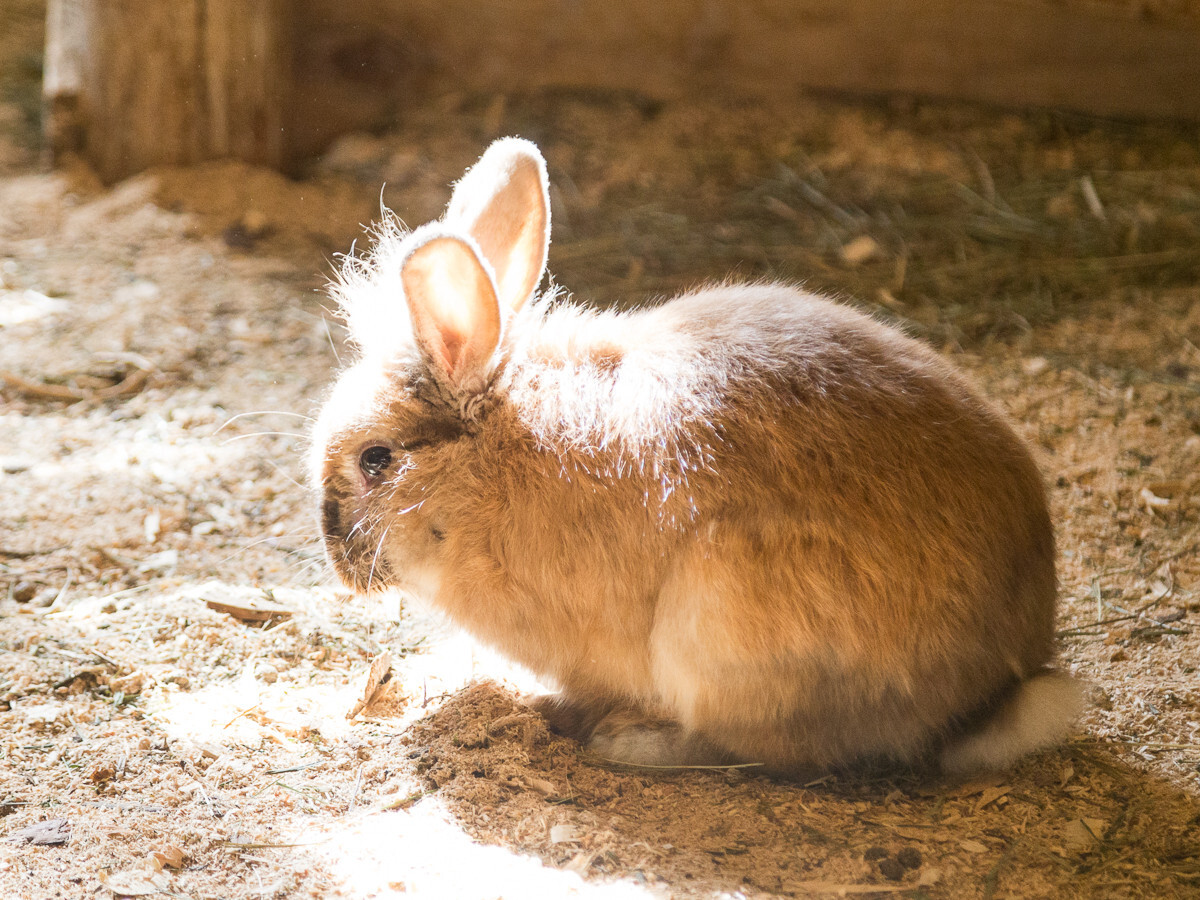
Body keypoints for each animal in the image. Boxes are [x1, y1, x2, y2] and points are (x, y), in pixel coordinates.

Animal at [312, 139, 1089, 777]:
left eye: (376, 460)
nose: (335, 555)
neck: (491, 466)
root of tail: (996, 689)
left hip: (720, 620)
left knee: (761, 750)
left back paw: (630, 742)